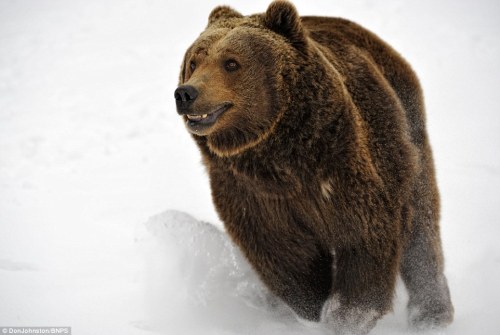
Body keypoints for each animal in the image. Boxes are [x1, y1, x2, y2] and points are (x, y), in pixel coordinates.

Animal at [175, 1, 454, 334]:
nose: (186, 93)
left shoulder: (340, 168)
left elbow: (364, 238)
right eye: (194, 61)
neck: (280, 158)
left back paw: (431, 314)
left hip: (406, 130)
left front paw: (344, 316)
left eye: (231, 62)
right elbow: (285, 255)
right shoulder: (251, 192)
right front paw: (312, 310)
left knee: (421, 223)